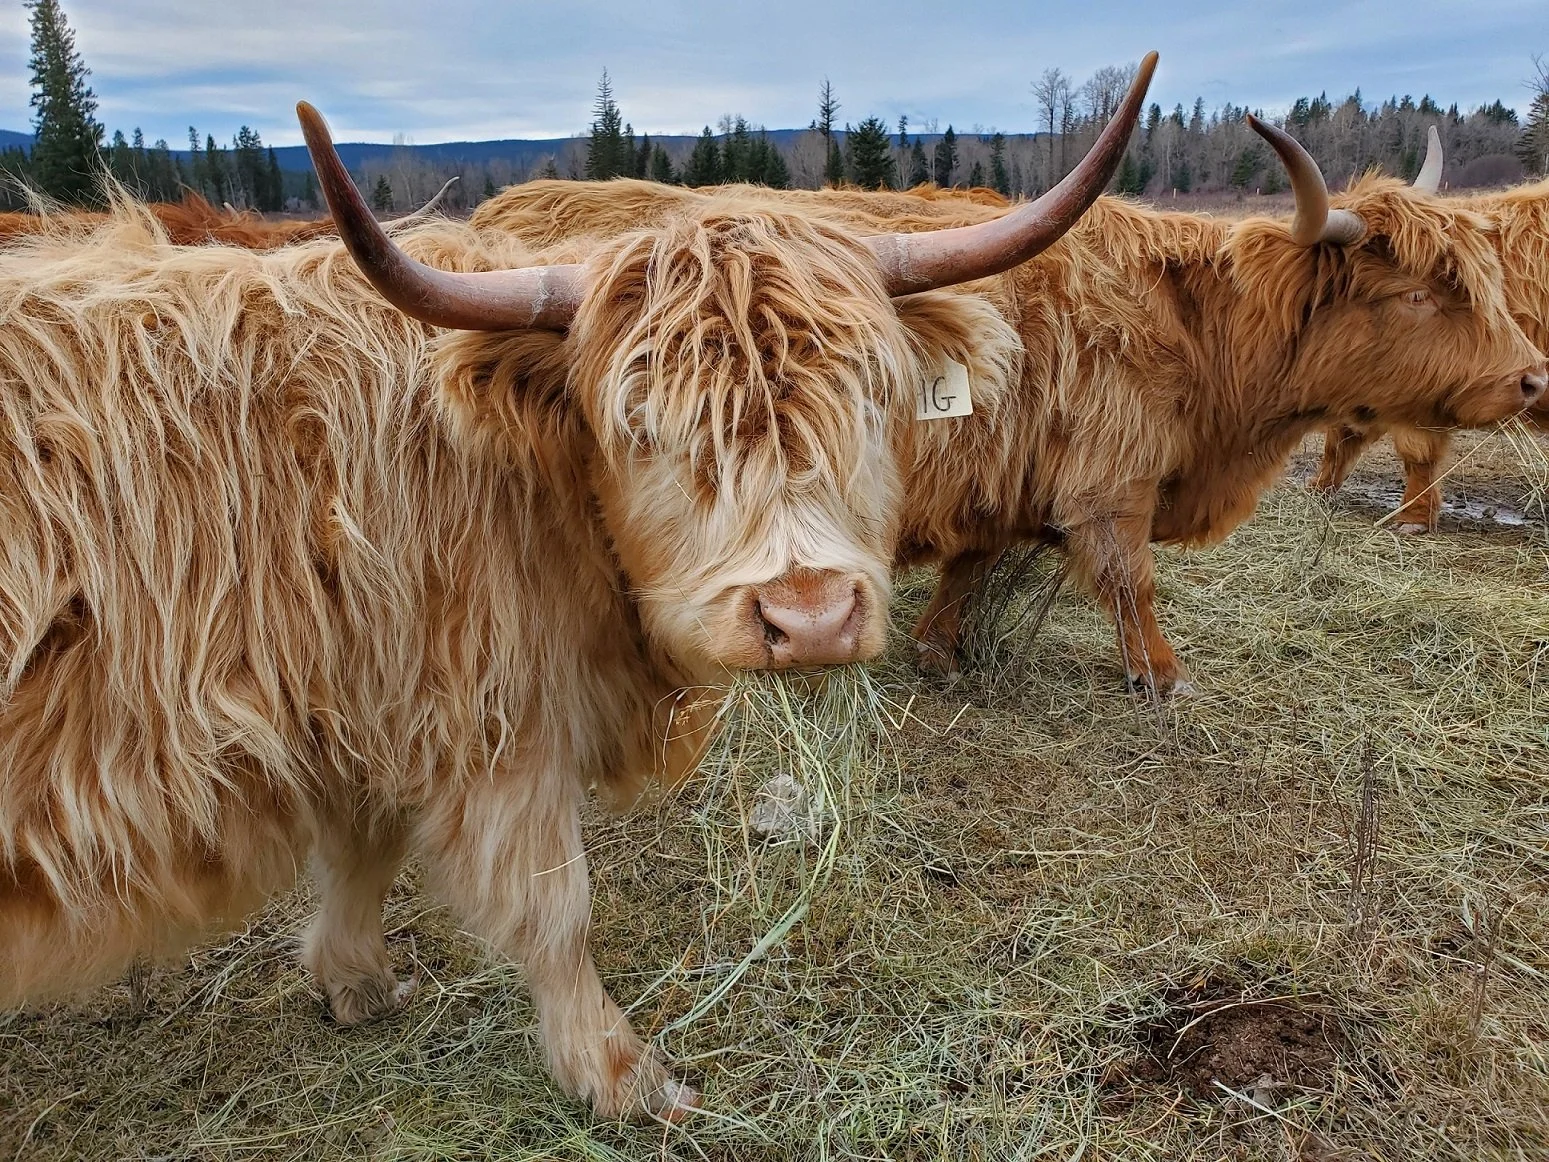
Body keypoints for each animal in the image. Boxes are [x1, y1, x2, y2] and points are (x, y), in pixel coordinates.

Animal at [0, 77, 1146, 1120]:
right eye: (640, 424)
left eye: (871, 394)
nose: (810, 615)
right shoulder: (488, 718)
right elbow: (555, 907)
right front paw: (622, 1076)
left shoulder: (376, 700)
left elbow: (366, 844)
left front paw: (353, 982)